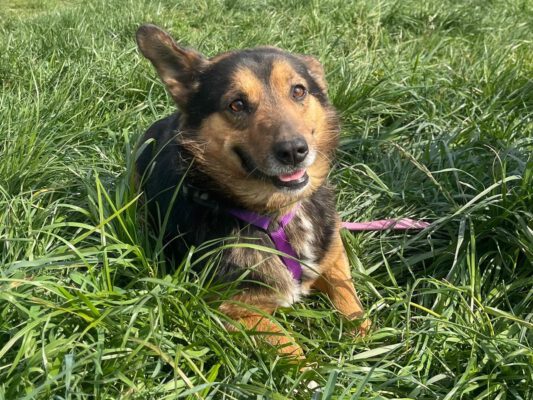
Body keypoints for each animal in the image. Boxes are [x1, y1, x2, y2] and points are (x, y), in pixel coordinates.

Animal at [135, 24, 370, 357]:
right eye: (237, 104)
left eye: (299, 91)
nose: (294, 151)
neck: (277, 216)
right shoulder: (232, 311)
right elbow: (292, 349)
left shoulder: (334, 256)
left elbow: (350, 302)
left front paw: (370, 345)